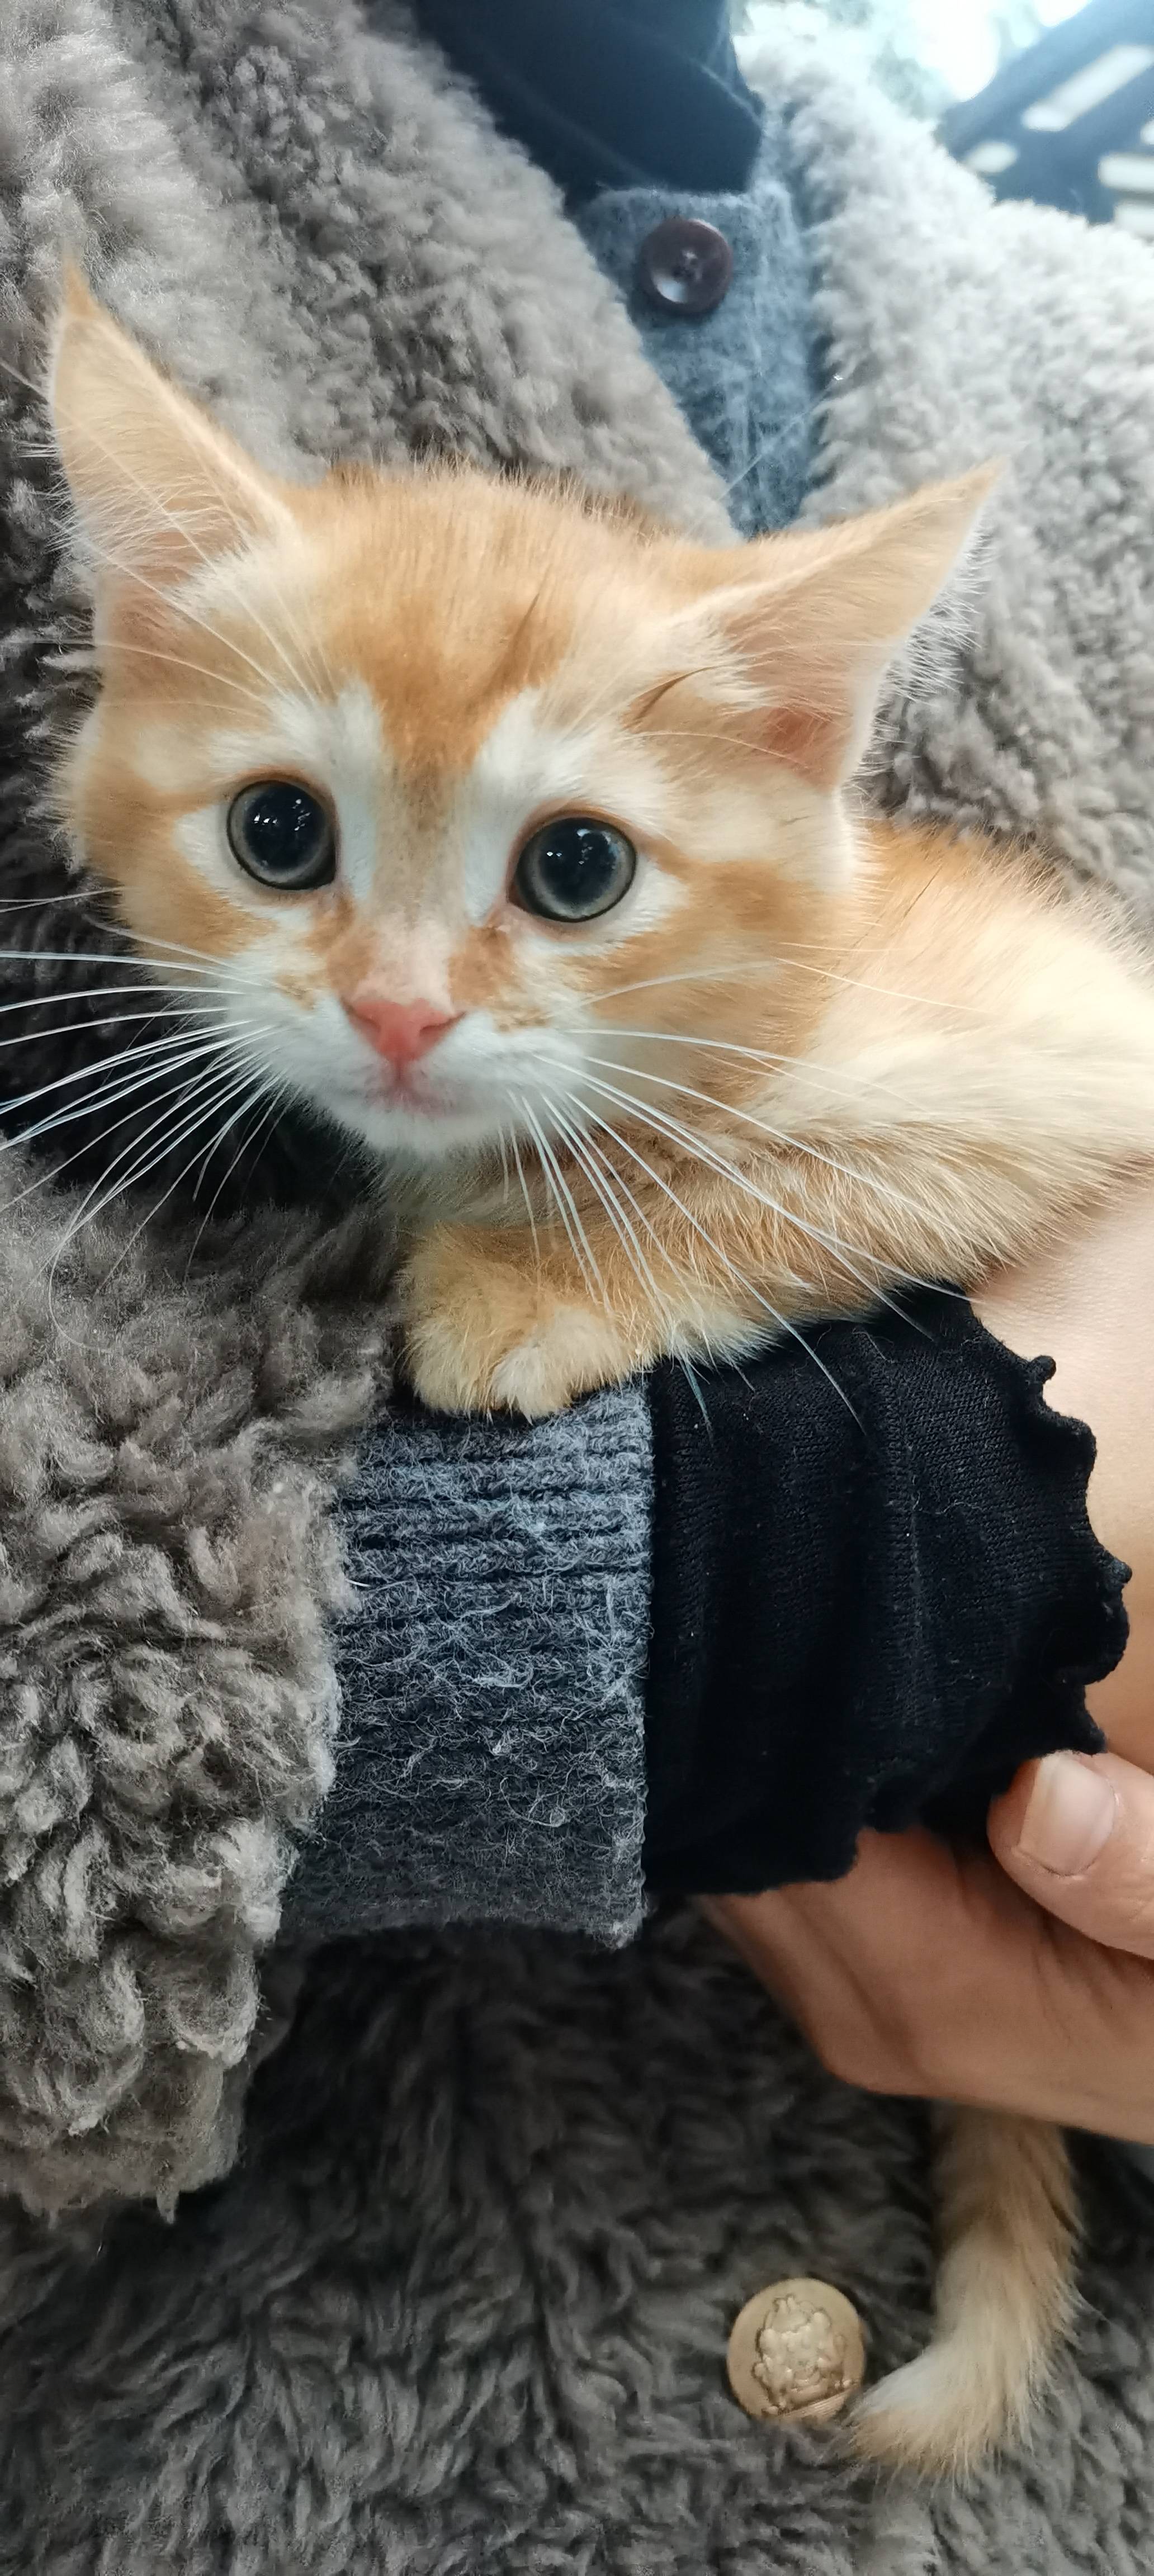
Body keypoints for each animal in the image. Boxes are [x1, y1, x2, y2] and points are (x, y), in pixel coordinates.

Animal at [43, 267, 1154, 2477]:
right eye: (278, 832)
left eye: (575, 871)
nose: (395, 1012)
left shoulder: (1058, 1057)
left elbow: (760, 1182)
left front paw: (529, 1278)